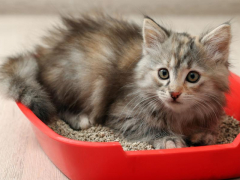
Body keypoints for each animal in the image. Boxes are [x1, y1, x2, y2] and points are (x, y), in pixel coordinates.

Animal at [0, 14, 231, 148]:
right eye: (164, 73)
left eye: (192, 76)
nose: (174, 93)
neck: (178, 115)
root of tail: (43, 57)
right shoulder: (122, 113)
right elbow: (147, 127)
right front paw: (169, 138)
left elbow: (209, 130)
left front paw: (204, 134)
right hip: (82, 76)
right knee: (58, 104)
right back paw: (80, 118)